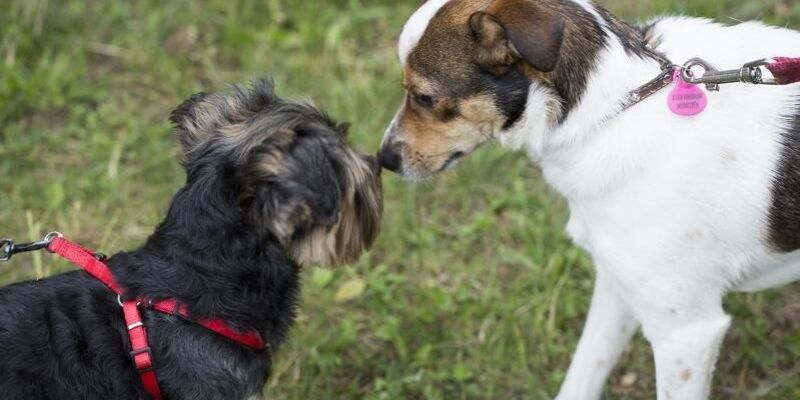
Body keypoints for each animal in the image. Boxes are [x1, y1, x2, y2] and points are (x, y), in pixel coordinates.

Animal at [380, 0, 800, 400]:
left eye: (424, 97)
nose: (383, 159)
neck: (612, 111)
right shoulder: (618, 283)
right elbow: (586, 368)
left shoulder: (685, 332)